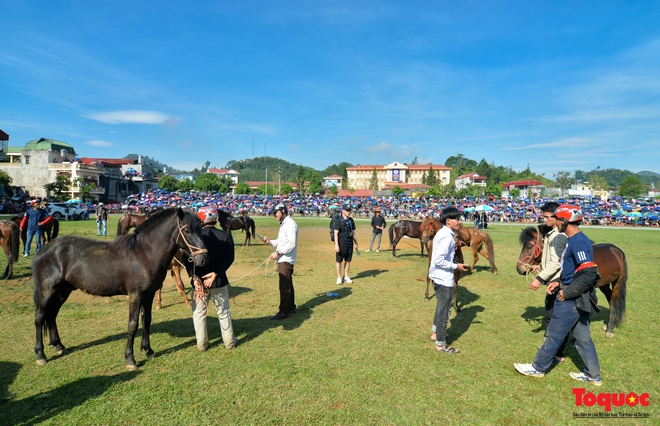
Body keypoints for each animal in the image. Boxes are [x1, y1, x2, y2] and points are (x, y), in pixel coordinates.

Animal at [32, 208, 209, 368]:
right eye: (186, 230)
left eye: (201, 228)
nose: (203, 258)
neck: (143, 253)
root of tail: (44, 250)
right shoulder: (135, 295)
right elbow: (132, 325)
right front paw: (130, 359)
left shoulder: (149, 294)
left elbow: (147, 320)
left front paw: (148, 350)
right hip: (47, 290)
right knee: (40, 317)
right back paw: (40, 355)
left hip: (63, 291)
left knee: (52, 315)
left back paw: (58, 345)